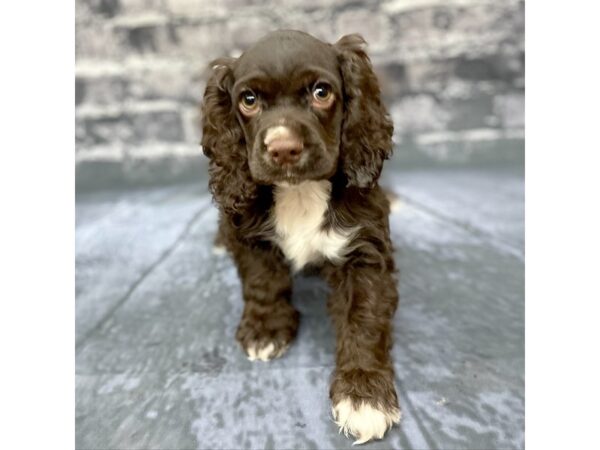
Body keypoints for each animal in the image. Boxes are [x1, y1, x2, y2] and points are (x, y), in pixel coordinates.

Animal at [202, 30, 404, 442]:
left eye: (321, 92)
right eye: (248, 100)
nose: (282, 148)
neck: (299, 192)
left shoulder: (364, 250)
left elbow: (365, 318)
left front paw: (365, 396)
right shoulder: (249, 235)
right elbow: (263, 283)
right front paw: (265, 331)